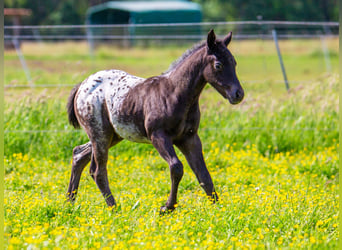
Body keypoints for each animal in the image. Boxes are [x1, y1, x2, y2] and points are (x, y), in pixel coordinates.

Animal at [66, 30, 243, 212]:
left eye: (234, 62)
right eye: (218, 65)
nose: (238, 94)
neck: (174, 94)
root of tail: (82, 85)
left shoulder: (190, 138)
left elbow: (203, 174)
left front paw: (218, 209)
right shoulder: (158, 136)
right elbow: (176, 167)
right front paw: (167, 207)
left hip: (113, 136)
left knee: (79, 154)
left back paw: (69, 204)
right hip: (100, 134)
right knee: (98, 170)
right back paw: (114, 208)